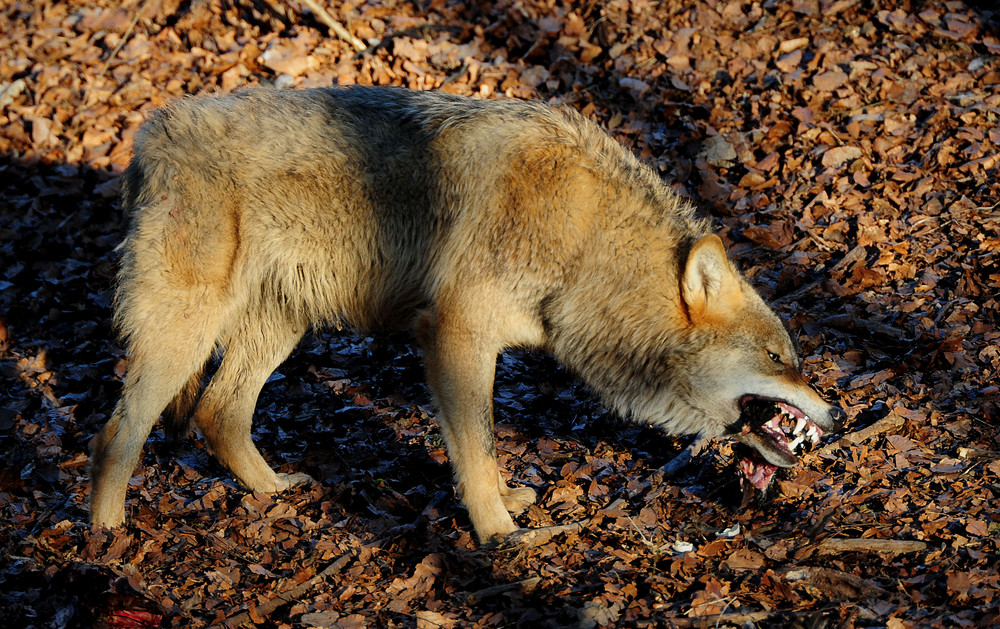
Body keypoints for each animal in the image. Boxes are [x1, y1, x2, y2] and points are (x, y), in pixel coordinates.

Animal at [92, 87, 844, 544]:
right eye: (780, 360)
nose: (838, 415)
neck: (588, 243)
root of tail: (148, 135)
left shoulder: (482, 347)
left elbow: (485, 445)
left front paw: (509, 504)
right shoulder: (456, 335)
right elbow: (476, 448)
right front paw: (498, 534)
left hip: (280, 329)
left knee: (218, 413)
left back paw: (274, 490)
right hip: (185, 336)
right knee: (116, 432)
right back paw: (103, 540)